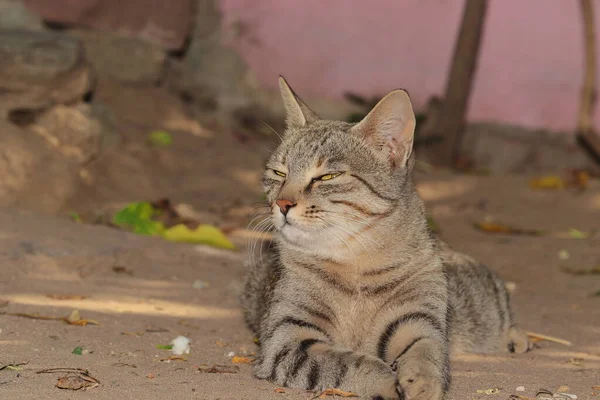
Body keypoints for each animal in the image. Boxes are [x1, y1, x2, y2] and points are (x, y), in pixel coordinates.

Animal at [239, 78, 528, 400]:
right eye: (278, 172)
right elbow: (349, 363)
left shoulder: (417, 321)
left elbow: (426, 354)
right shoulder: (287, 336)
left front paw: (423, 383)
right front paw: (388, 381)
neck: (355, 263)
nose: (281, 203)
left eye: (327, 177)